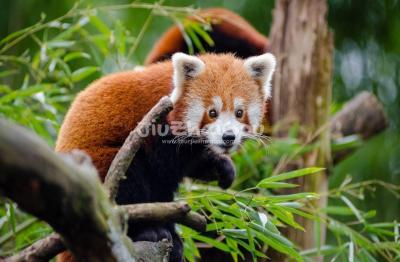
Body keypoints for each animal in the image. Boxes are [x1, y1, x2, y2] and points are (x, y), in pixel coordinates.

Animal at [55, 52, 276, 260]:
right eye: (212, 113)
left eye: (239, 112)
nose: (228, 137)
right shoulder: (156, 131)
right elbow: (163, 170)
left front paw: (223, 167)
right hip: (102, 164)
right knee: (130, 183)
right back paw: (148, 232)